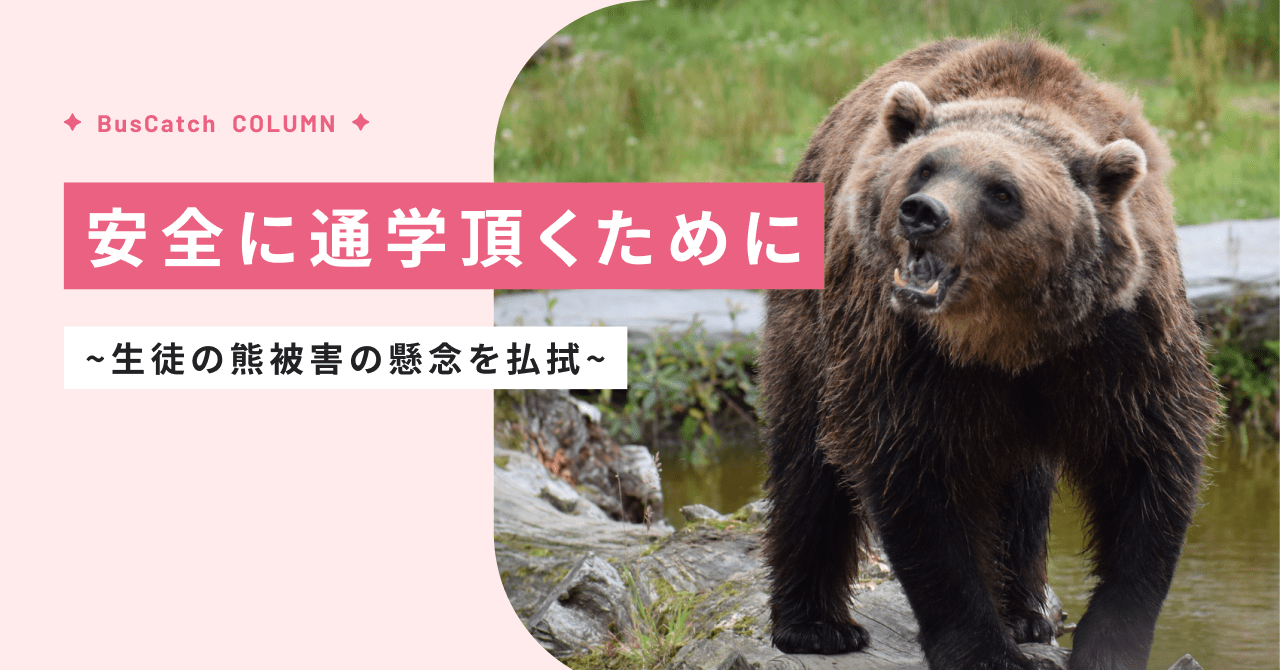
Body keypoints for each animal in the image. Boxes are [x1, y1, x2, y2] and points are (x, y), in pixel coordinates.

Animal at [758, 37, 1220, 670]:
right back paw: (816, 626)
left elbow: (1146, 468)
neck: (1008, 338)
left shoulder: (1122, 343)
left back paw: (1027, 613)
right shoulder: (905, 353)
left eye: (1002, 192)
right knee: (808, 460)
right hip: (812, 329)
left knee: (1022, 492)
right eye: (926, 167)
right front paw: (982, 649)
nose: (922, 212)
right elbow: (920, 483)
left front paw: (1106, 643)